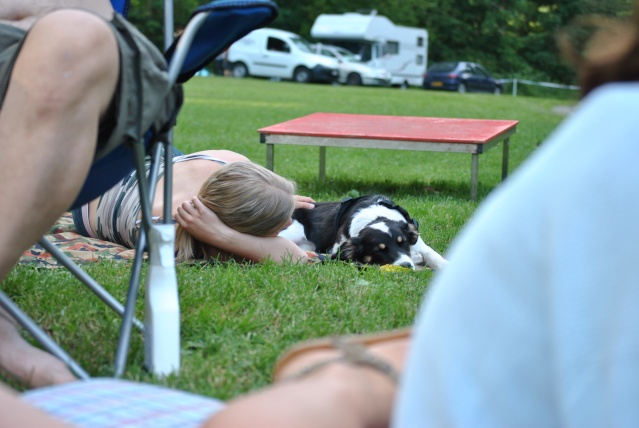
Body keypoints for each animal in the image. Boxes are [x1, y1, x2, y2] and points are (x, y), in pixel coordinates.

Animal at [278, 195, 448, 270]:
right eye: (380, 250)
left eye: (403, 243)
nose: (406, 266)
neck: (377, 216)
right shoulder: (339, 246)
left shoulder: (418, 243)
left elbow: (434, 256)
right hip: (292, 232)